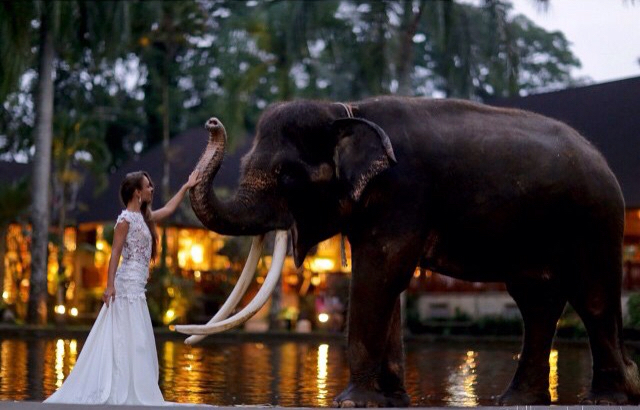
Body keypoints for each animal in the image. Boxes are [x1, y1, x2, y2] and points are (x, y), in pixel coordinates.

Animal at [176, 96, 640, 406]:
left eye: (285, 175)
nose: (212, 122)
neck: (347, 111)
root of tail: (603, 162)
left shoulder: (404, 192)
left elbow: (381, 273)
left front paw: (353, 401)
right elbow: (387, 283)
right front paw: (390, 400)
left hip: (594, 218)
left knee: (591, 296)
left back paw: (605, 399)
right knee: (536, 301)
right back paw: (517, 400)